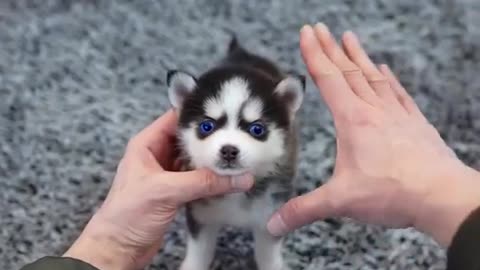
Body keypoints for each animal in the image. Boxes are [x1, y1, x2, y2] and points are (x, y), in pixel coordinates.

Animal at [167, 36, 306, 270]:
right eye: (207, 126)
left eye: (257, 129)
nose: (229, 151)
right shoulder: (201, 215)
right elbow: (199, 252)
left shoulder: (270, 216)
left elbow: (267, 254)